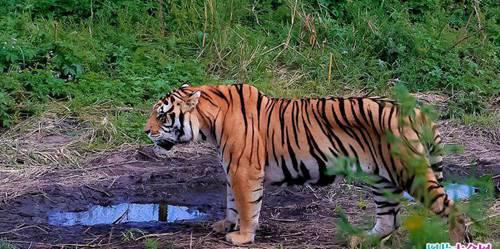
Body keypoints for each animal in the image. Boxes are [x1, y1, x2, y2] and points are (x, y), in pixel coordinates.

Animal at [145, 83, 468, 245]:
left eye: (162, 116)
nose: (146, 131)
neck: (209, 122)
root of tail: (415, 110)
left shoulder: (243, 171)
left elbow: (248, 207)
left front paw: (242, 237)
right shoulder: (231, 170)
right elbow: (231, 202)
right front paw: (226, 224)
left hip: (410, 172)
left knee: (453, 209)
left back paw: (457, 241)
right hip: (382, 179)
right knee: (389, 219)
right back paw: (361, 239)